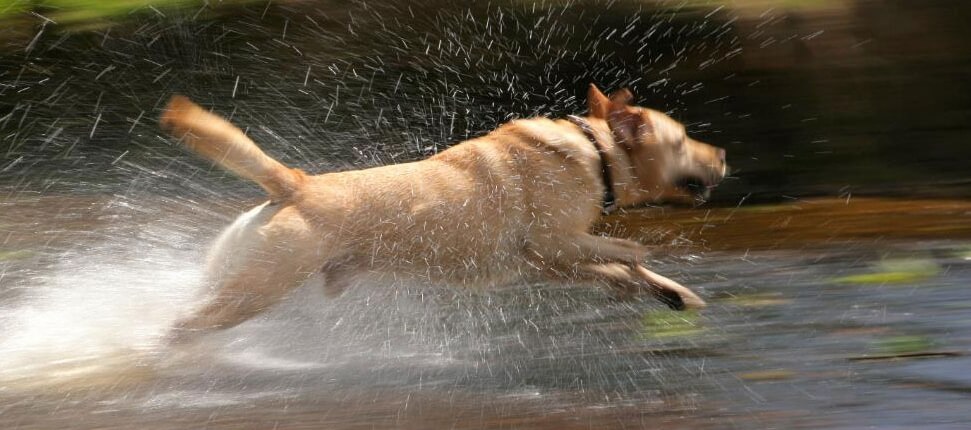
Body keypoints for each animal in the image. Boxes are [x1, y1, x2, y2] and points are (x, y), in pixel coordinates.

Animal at [159, 84, 724, 340]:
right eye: (681, 141)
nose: (721, 153)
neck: (598, 151)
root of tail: (295, 183)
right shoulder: (552, 244)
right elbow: (632, 250)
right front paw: (647, 278)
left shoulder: (547, 261)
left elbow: (623, 266)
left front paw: (672, 294)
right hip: (258, 287)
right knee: (182, 327)